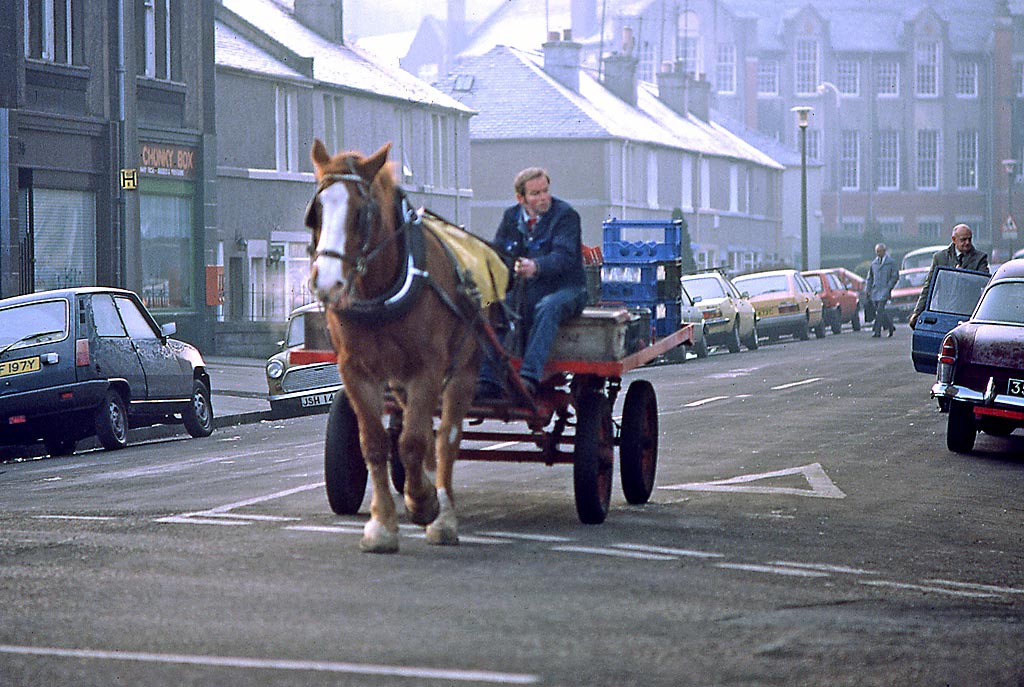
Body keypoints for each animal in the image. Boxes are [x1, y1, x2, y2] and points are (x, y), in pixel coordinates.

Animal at [303, 139, 499, 552]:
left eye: (361, 214)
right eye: (316, 212)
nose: (327, 283)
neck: (380, 292)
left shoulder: (427, 368)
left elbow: (413, 443)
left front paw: (424, 504)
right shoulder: (356, 371)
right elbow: (375, 443)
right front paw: (382, 525)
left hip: (463, 369)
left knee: (446, 438)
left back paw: (443, 511)